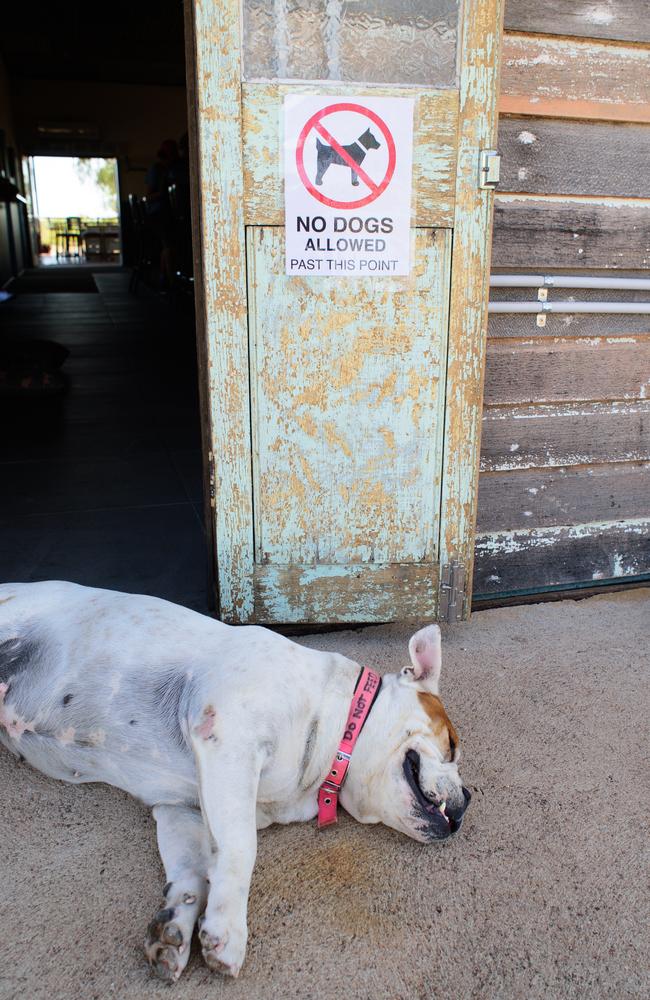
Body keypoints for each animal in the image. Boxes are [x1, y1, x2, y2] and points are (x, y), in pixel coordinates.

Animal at [0, 584, 466, 980]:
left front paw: (176, 926)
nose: (468, 800)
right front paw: (228, 931)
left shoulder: (183, 809)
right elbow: (242, 849)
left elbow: (193, 872)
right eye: (453, 744)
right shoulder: (229, 740)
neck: (338, 730)